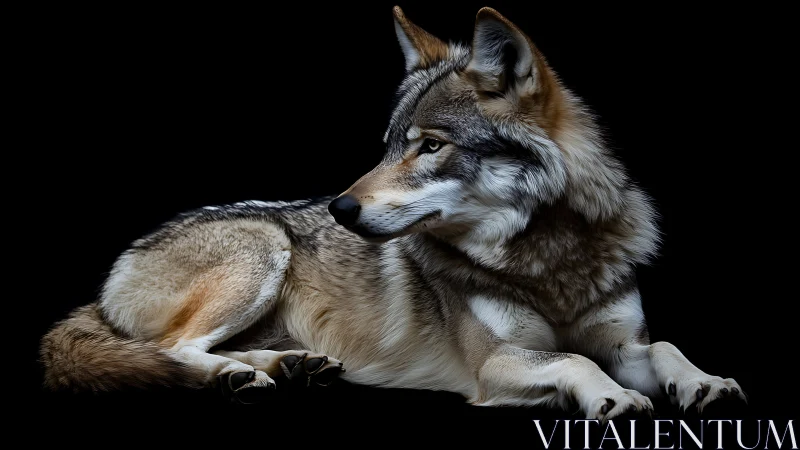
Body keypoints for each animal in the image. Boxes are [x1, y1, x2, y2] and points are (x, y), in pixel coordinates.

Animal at [40, 7, 746, 418]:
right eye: (386, 147)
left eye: (430, 146)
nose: (340, 207)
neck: (548, 262)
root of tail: (109, 281)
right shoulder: (496, 365)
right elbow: (575, 362)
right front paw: (613, 398)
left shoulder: (622, 340)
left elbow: (664, 346)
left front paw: (703, 381)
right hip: (264, 247)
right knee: (172, 351)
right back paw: (238, 377)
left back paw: (287, 367)